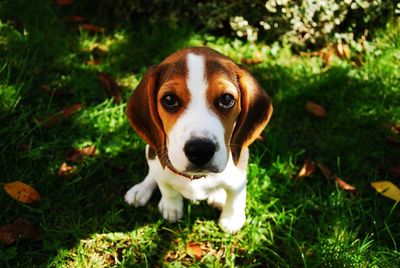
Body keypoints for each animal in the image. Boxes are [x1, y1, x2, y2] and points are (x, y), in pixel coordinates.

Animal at [126, 46, 272, 232]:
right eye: (169, 99)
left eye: (226, 99)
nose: (200, 151)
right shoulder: (161, 169)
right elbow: (167, 189)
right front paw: (171, 208)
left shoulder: (239, 172)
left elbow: (236, 197)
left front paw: (232, 219)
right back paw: (141, 191)